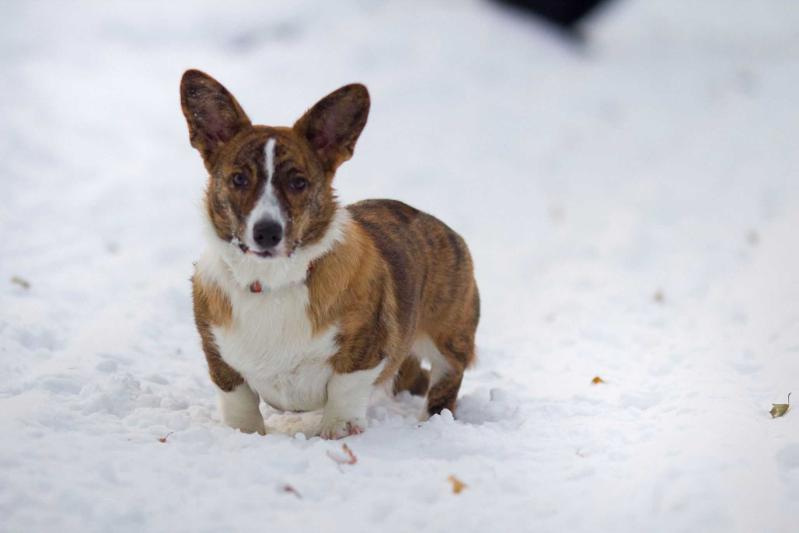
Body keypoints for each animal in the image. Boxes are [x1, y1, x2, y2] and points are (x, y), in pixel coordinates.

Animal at [180, 70, 478, 436]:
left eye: (298, 183)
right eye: (238, 179)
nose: (267, 233)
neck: (271, 282)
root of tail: (441, 227)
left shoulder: (366, 351)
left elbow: (345, 389)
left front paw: (337, 431)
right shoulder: (220, 358)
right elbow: (240, 403)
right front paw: (246, 434)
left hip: (448, 336)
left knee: (446, 378)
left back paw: (432, 421)